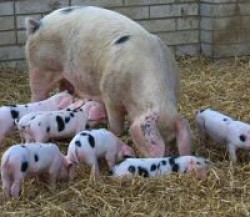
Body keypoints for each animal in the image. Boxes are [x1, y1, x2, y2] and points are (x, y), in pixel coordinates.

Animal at [24, 5, 191, 157]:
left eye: (172, 140)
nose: (167, 156)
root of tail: (38, 24)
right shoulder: (110, 96)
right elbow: (116, 125)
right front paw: (114, 133)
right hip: (39, 68)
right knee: (37, 94)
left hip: (64, 77)